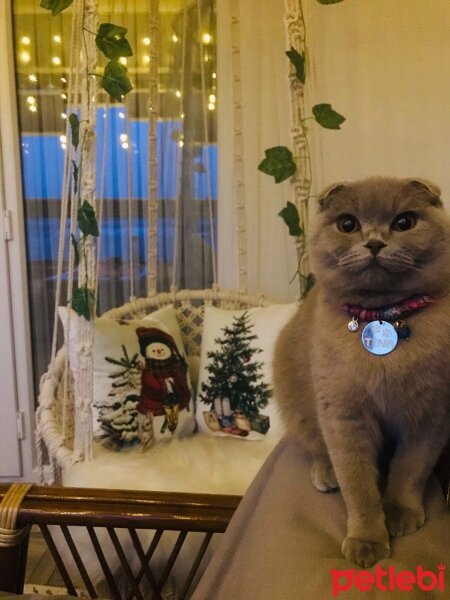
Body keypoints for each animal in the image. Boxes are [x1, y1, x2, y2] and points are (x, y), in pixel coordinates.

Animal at [272, 177, 450, 568]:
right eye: (348, 224)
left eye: (404, 222)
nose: (374, 241)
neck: (383, 314)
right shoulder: (343, 414)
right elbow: (358, 484)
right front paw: (366, 541)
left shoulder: (431, 414)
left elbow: (410, 468)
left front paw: (400, 513)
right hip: (298, 405)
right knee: (317, 445)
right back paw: (326, 473)